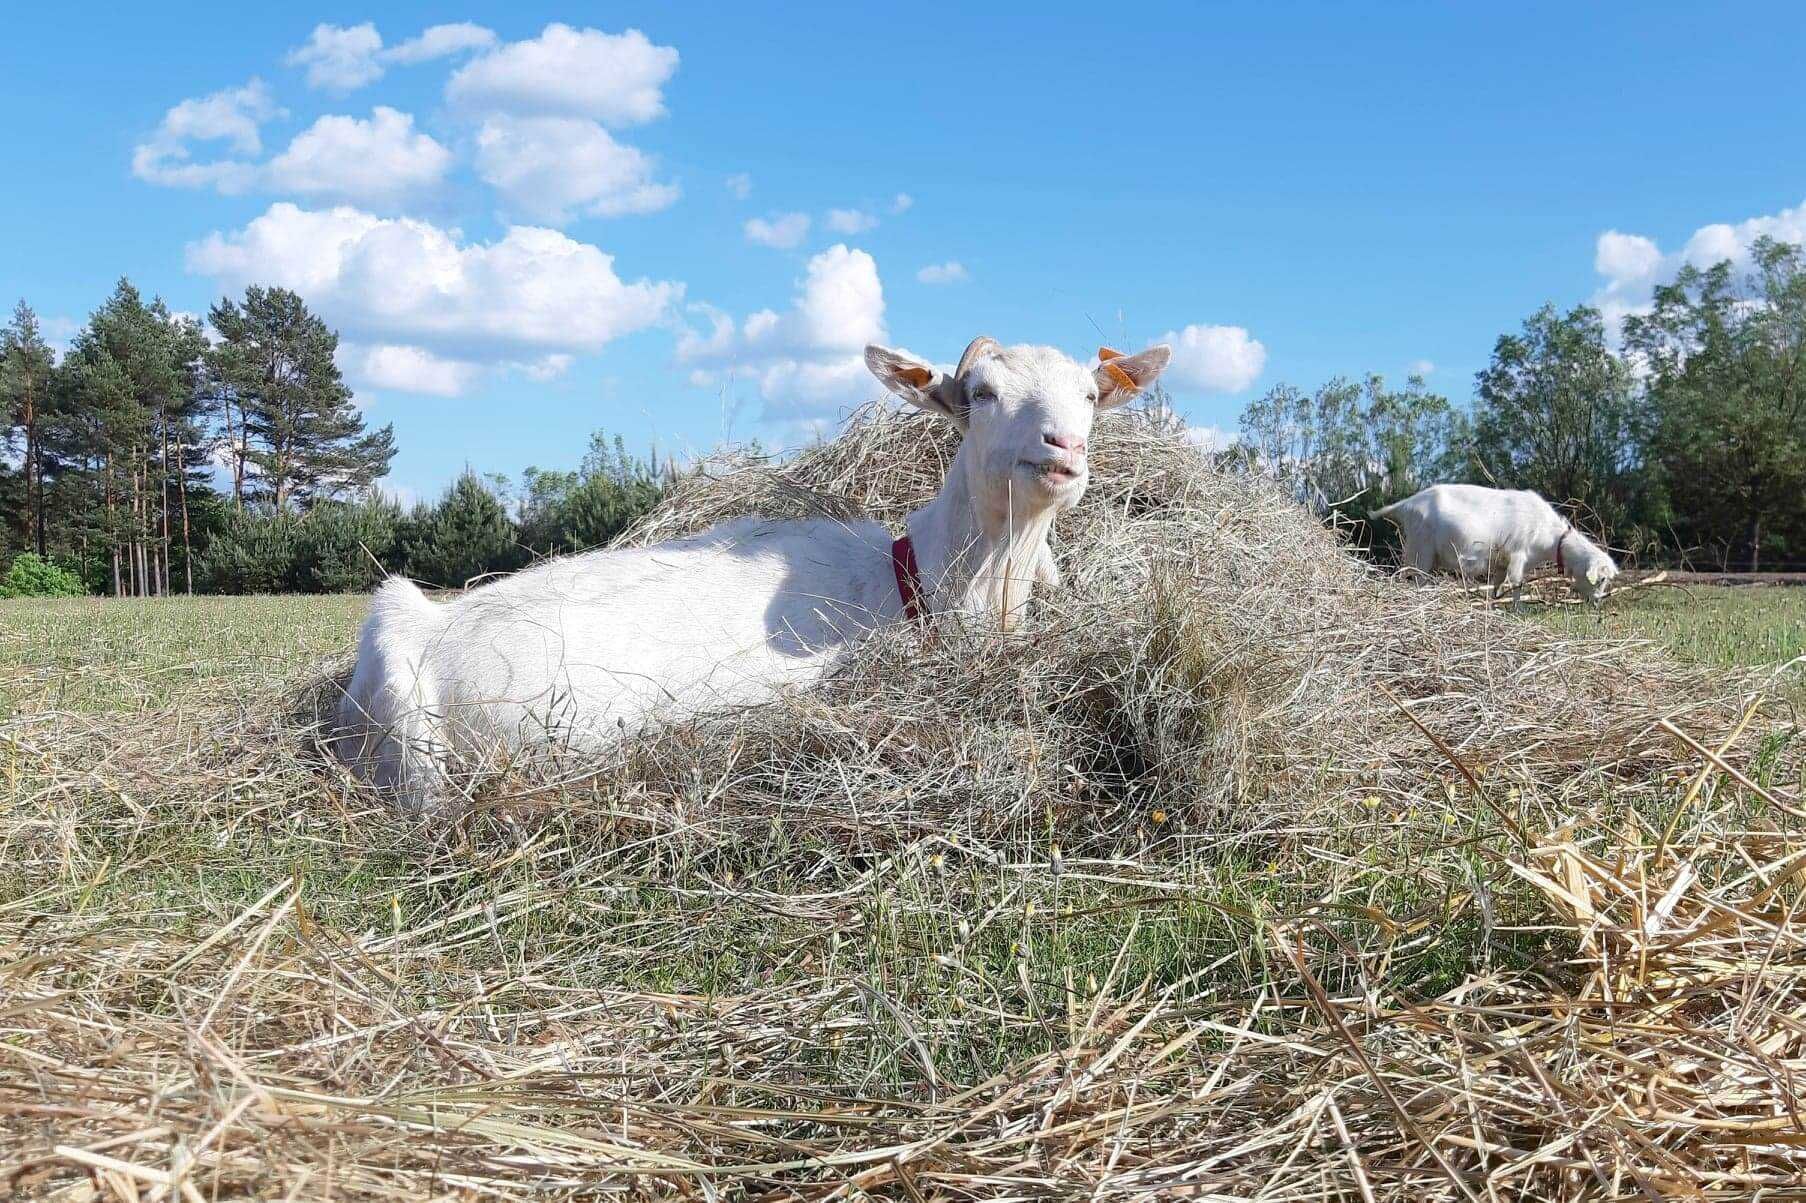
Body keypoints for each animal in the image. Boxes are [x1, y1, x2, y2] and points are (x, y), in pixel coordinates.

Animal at [1372, 484, 1618, 599]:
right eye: (1601, 579)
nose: (1599, 599)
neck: (1551, 535)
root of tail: (1407, 503)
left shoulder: (1502, 562)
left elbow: (1498, 585)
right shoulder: (1518, 555)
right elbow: (1517, 586)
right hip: (1421, 549)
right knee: (1416, 577)